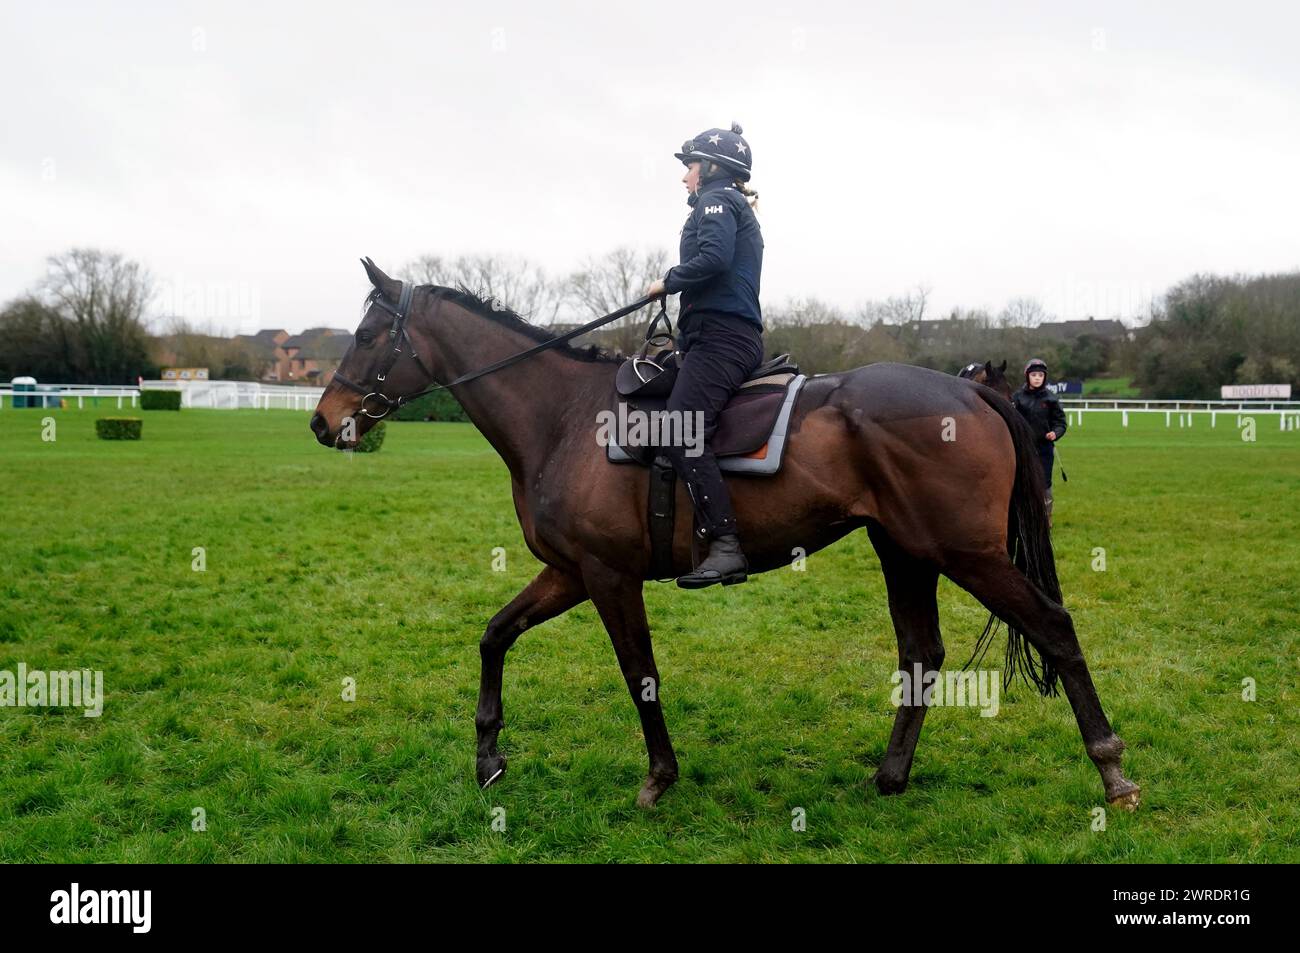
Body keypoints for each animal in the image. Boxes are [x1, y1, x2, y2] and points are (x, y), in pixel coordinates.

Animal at [309, 260, 1144, 811]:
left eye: (368, 333)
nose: (323, 420)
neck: (564, 416)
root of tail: (968, 393)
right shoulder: (571, 572)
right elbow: (493, 635)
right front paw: (488, 754)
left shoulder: (608, 576)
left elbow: (639, 673)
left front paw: (659, 776)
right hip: (905, 550)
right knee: (922, 653)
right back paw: (890, 775)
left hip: (964, 553)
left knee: (1053, 626)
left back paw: (1112, 770)